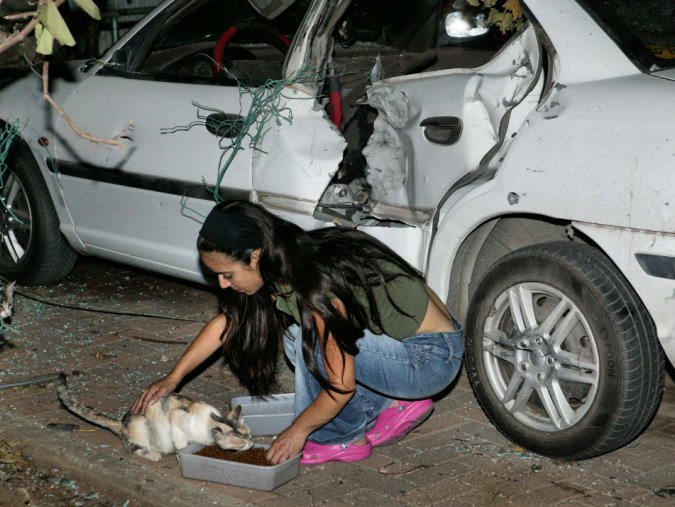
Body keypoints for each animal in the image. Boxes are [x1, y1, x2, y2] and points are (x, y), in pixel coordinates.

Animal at [56, 376, 254, 462]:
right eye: (240, 443)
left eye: (250, 436)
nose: (251, 445)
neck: (213, 420)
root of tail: (122, 423)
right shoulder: (176, 422)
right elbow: (181, 444)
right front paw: (181, 455)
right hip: (142, 425)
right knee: (134, 449)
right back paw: (154, 454)